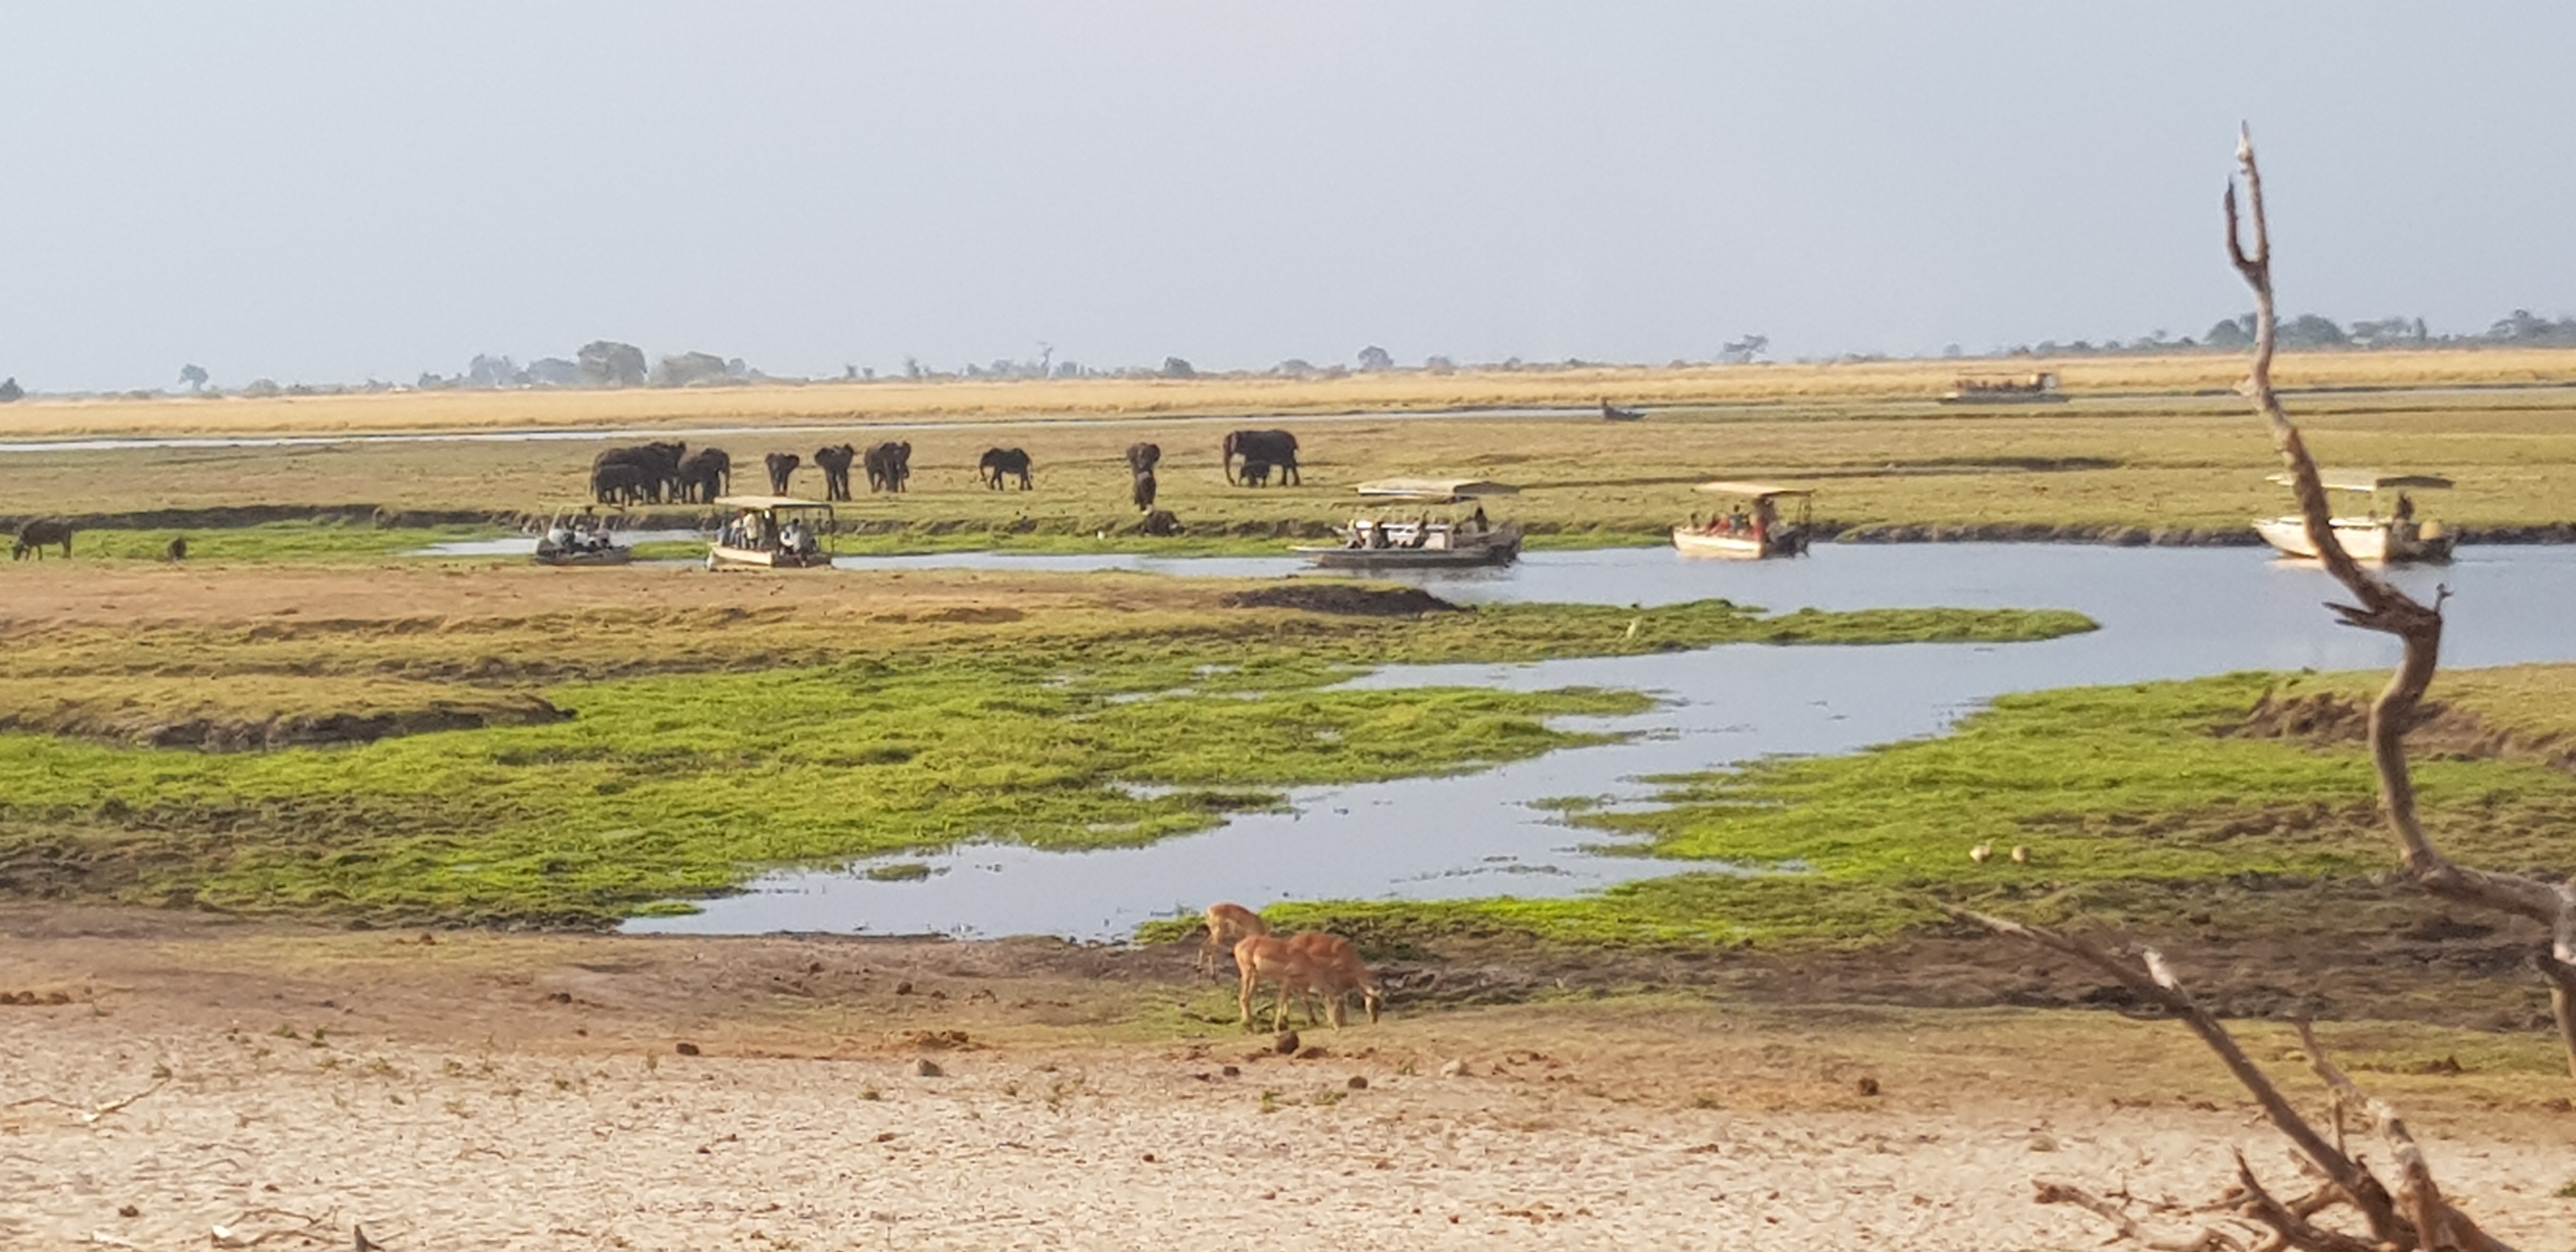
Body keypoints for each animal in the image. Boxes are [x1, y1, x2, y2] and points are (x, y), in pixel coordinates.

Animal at [1216, 432, 1298, 487]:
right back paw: (1284, 484)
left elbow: (1248, 463)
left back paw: (1293, 484)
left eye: (1225, 446)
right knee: (1288, 465)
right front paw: (1253, 484)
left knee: (1290, 464)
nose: (1233, 482)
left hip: (1287, 451)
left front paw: (1253, 484)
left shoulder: (1252, 449)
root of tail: (1293, 439)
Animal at [1277, 927, 1381, 1025]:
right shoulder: (1337, 977)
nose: (1375, 1021)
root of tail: (1290, 941)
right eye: (1373, 1005)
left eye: (1378, 1005)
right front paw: (1343, 1022)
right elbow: (1341, 999)